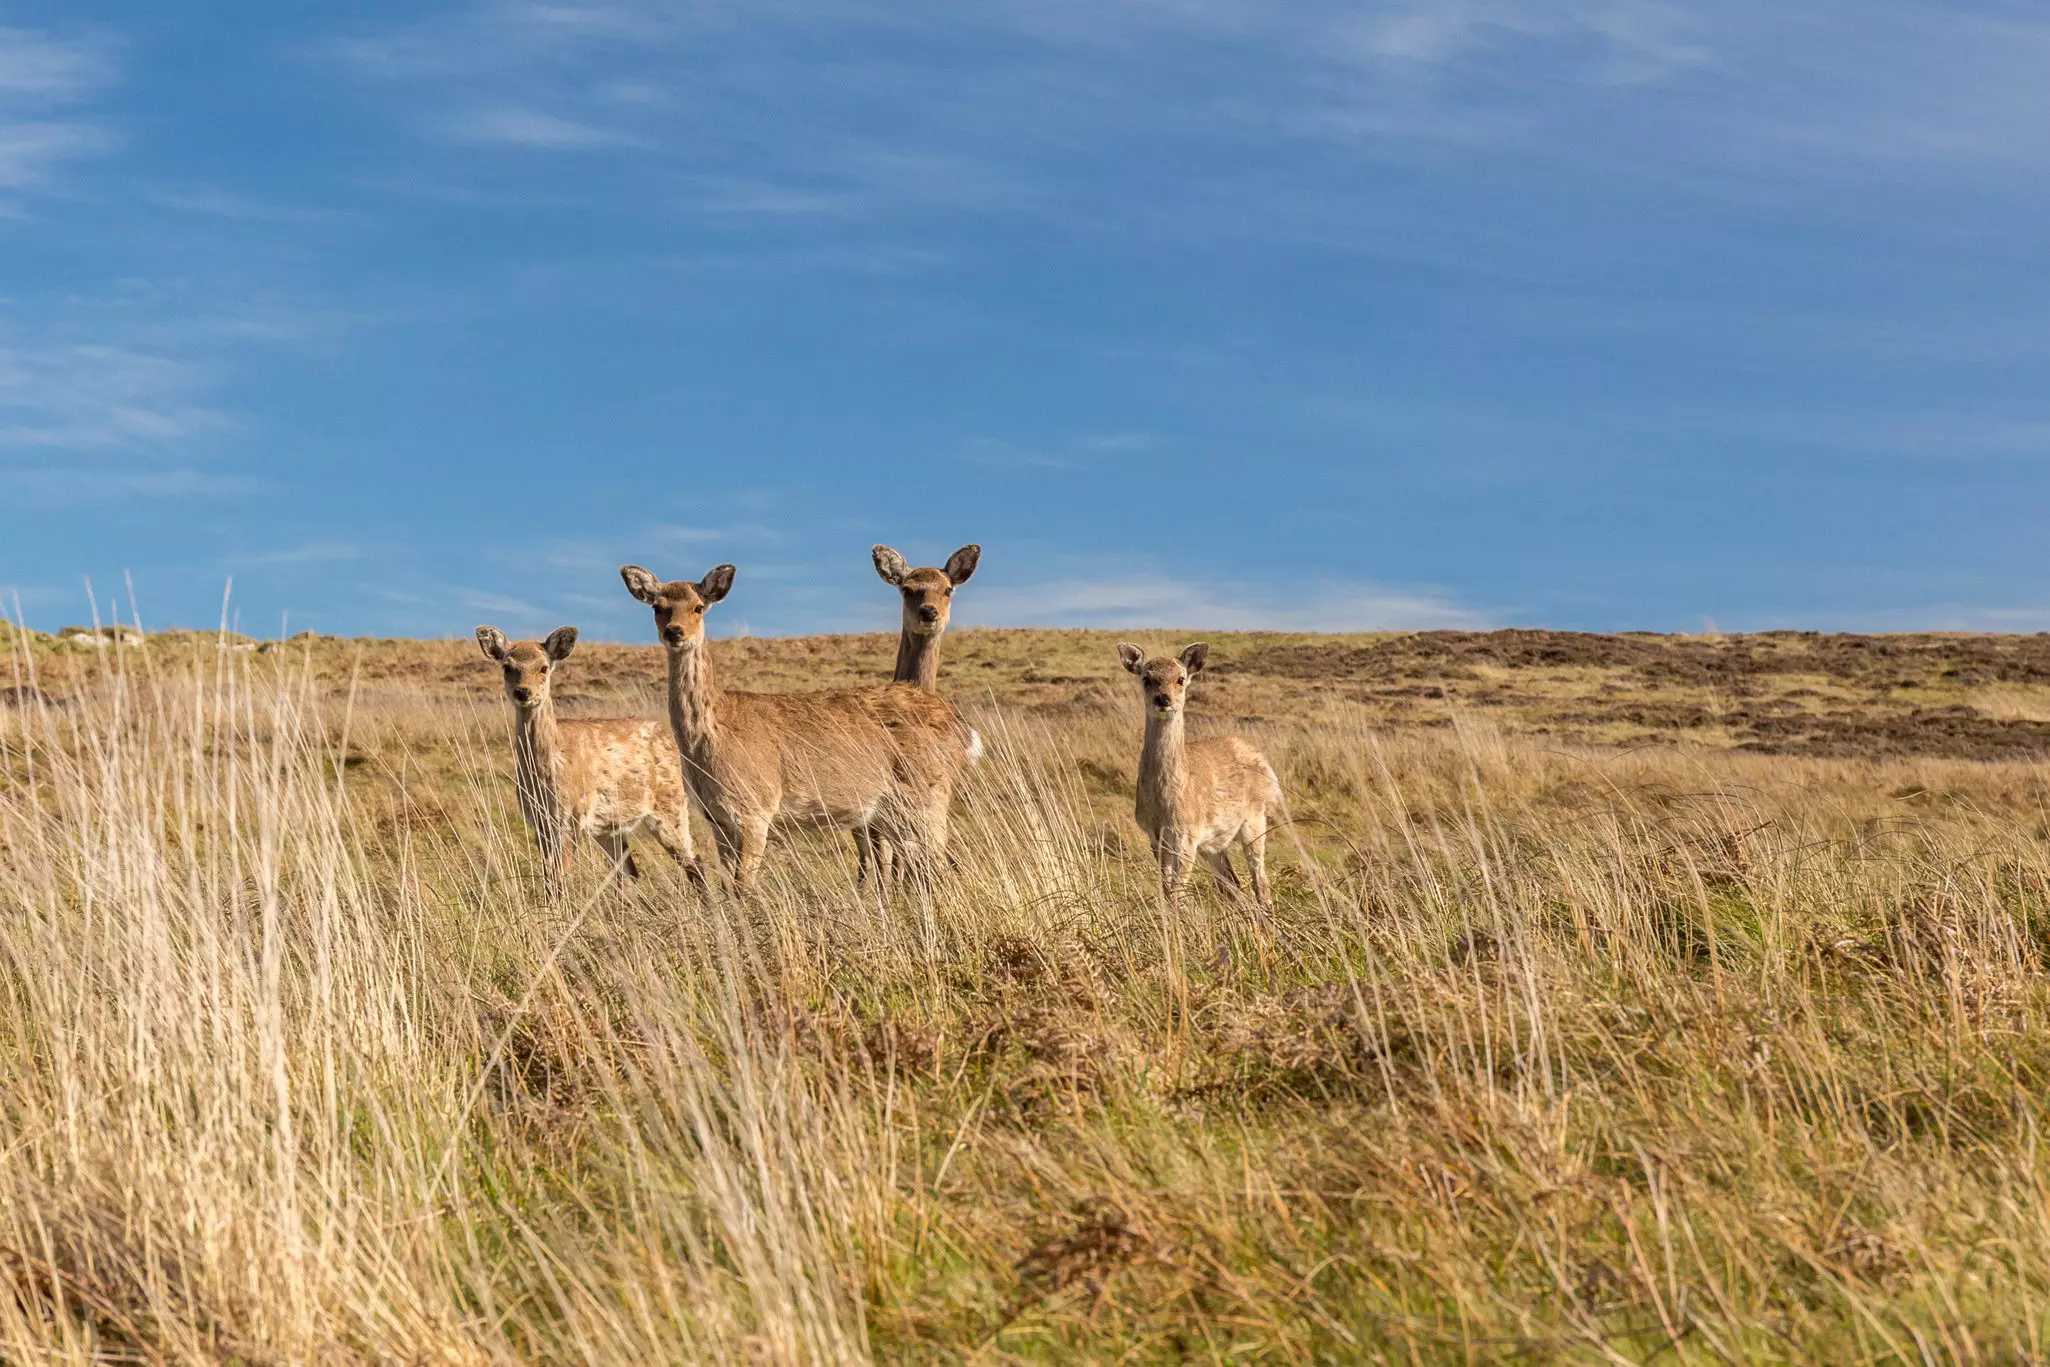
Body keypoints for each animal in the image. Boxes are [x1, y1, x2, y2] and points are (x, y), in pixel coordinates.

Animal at [476, 625, 706, 900]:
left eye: (543, 667)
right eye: (507, 667)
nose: (523, 691)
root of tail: (670, 741)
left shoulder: (571, 816)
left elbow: (559, 878)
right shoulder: (538, 821)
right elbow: (549, 880)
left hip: (671, 804)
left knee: (694, 861)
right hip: (610, 826)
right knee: (629, 872)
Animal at [1117, 642, 1280, 907]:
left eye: (1181, 678)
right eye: (1147, 678)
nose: (1164, 698)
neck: (1164, 805)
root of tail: (1268, 770)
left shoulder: (1188, 834)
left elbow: (1176, 892)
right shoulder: (1154, 835)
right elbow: (1166, 889)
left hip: (1255, 821)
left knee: (1260, 883)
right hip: (1214, 843)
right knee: (1232, 885)